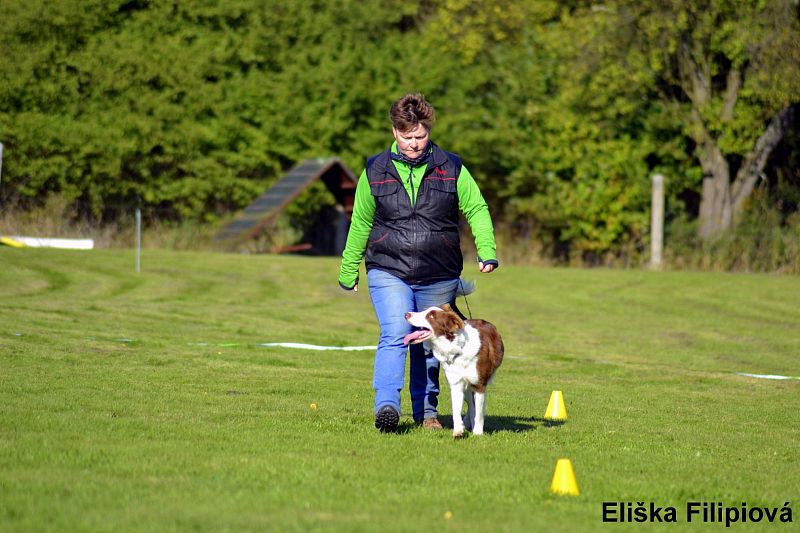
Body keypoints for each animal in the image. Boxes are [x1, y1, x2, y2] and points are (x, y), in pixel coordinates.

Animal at [404, 304, 504, 436]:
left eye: (431, 316)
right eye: (424, 310)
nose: (406, 314)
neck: (457, 348)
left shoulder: (479, 384)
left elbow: (479, 413)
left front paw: (477, 433)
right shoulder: (456, 383)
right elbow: (456, 410)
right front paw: (458, 431)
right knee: (470, 403)